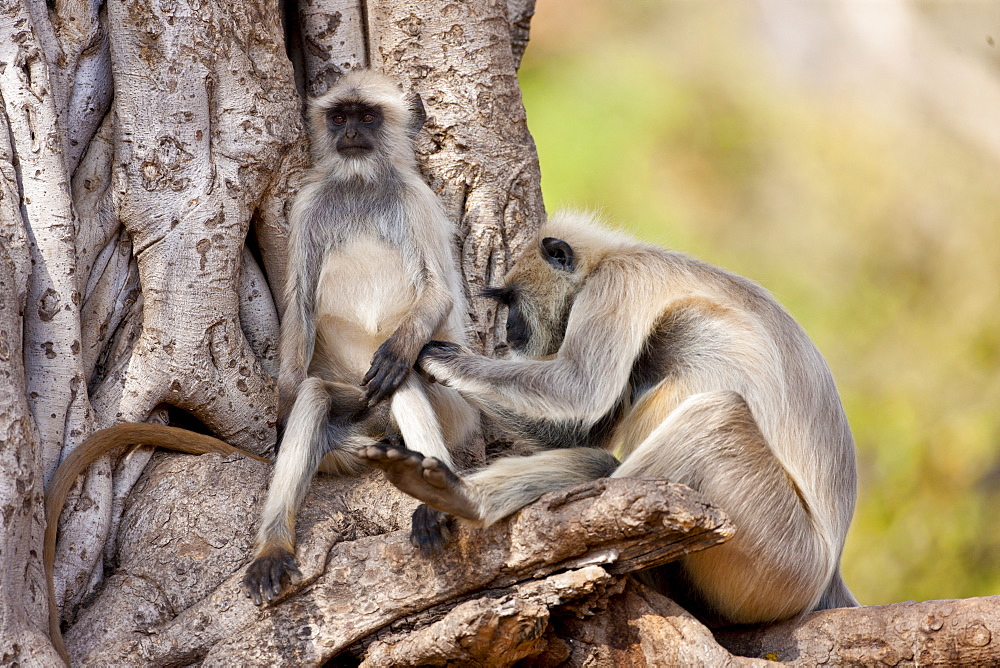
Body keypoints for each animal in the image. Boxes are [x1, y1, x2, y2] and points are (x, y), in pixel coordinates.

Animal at [241, 70, 476, 608]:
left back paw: (435, 498)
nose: (350, 133)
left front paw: (396, 350)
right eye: (339, 118)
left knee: (404, 373)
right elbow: (299, 306)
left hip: (454, 413)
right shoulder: (309, 205)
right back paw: (273, 548)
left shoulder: (416, 198)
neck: (361, 183)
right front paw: (283, 407)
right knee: (316, 393)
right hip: (355, 417)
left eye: (367, 117)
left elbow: (439, 293)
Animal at [364, 213, 856, 628]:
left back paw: (470, 501)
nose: (510, 330)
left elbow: (578, 386)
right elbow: (577, 427)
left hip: (782, 560)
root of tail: (827, 576)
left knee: (706, 420)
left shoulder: (616, 283)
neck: (609, 258)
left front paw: (426, 355)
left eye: (512, 300)